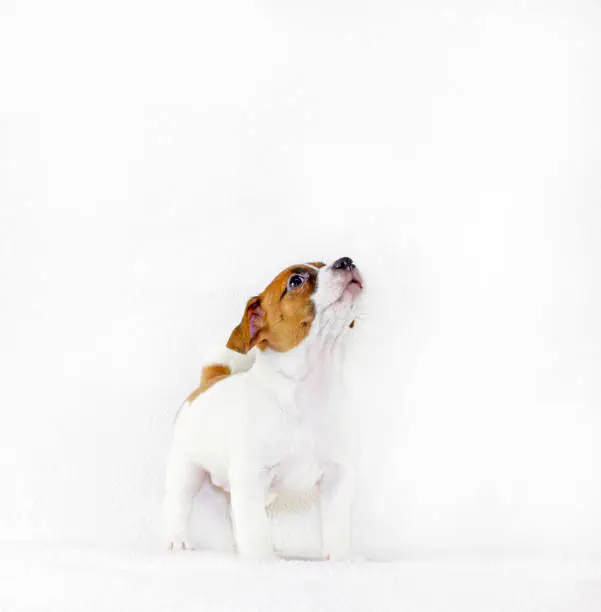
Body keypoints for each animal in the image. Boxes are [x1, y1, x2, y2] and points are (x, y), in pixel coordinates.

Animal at [162, 256, 364, 560]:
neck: (306, 390)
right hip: (186, 467)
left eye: (324, 263)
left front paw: (342, 558)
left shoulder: (337, 477)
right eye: (295, 281)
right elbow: (255, 528)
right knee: (178, 504)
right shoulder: (252, 475)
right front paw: (262, 560)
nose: (346, 260)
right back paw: (176, 539)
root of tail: (209, 381)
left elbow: (337, 525)